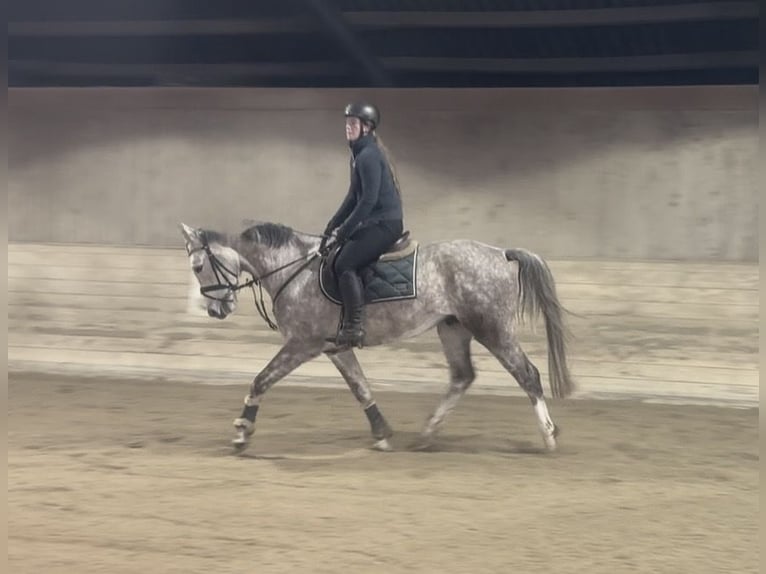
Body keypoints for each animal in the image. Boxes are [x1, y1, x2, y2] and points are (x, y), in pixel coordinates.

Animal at [179, 221, 575, 453]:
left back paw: (549, 436)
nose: (216, 311)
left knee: (527, 374)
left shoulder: (302, 345)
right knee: (463, 376)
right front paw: (382, 433)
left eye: (198, 267)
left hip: (492, 328)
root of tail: (501, 254)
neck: (295, 270)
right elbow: (361, 388)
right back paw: (427, 434)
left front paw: (242, 432)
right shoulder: (333, 348)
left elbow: (261, 380)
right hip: (453, 328)